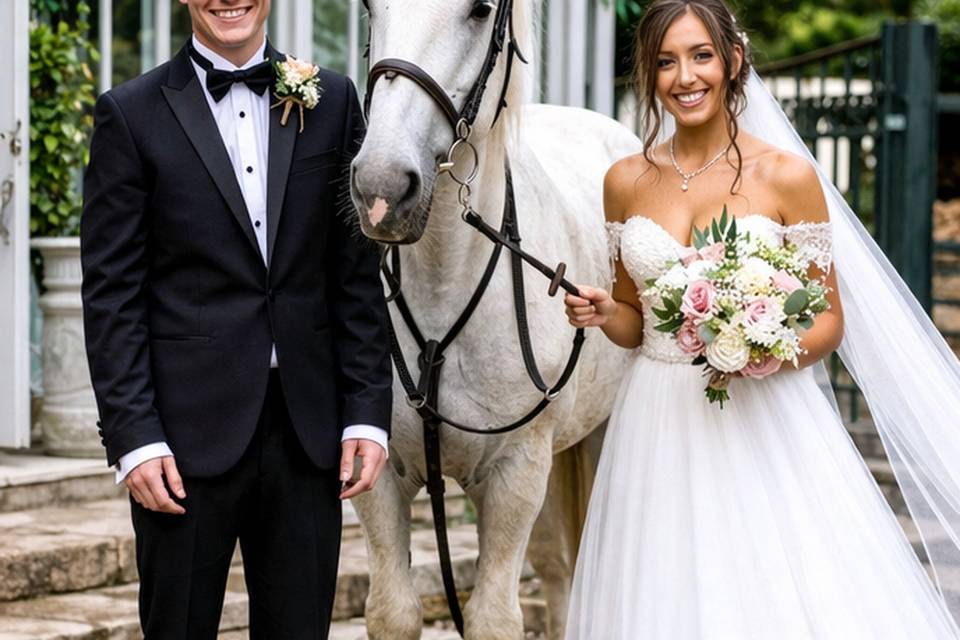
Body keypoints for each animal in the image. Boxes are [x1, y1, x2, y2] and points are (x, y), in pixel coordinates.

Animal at [349, 1, 642, 638]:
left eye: (481, 10)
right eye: (369, 10)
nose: (381, 187)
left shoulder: (516, 474)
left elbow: (493, 619)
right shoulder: (376, 473)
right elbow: (393, 612)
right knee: (557, 572)